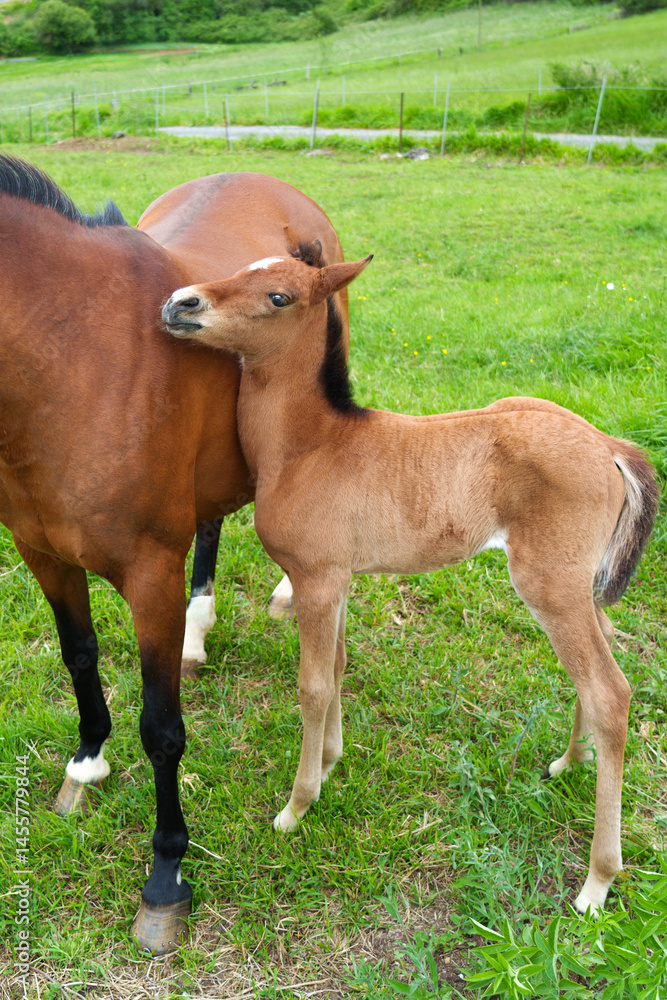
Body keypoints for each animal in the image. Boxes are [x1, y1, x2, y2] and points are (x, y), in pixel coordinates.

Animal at [0, 156, 346, 953]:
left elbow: (161, 730)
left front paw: (166, 878)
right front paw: (87, 763)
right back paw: (198, 630)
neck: (68, 357)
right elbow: (80, 657)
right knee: (213, 523)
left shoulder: (149, 572)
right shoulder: (42, 552)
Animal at [162, 249, 659, 915]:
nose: (181, 303)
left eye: (278, 297)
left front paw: (297, 805)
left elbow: (312, 686)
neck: (310, 448)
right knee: (600, 655)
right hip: (578, 585)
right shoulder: (338, 581)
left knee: (610, 692)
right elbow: (338, 667)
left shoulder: (316, 581)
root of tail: (607, 445)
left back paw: (598, 880)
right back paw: (568, 760)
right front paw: (329, 764)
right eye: (242, 268)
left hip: (549, 586)